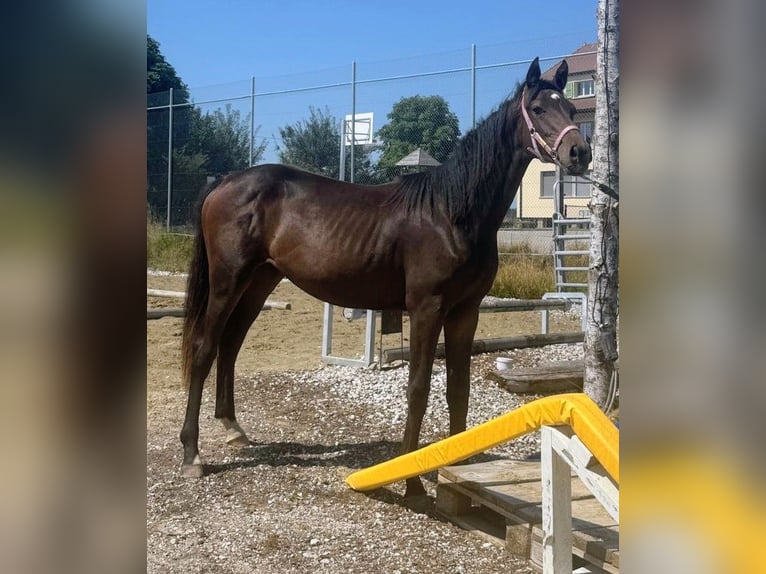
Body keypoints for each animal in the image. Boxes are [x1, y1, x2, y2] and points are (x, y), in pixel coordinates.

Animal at [179, 57, 591, 497]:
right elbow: (418, 387)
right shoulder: (427, 309)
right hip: (228, 281)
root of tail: (226, 181)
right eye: (538, 109)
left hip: (259, 281)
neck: (451, 213)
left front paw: (458, 468)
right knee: (205, 348)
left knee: (230, 344)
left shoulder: (466, 312)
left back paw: (233, 428)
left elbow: (458, 389)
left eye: (571, 109)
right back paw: (192, 454)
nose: (579, 152)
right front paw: (412, 485)